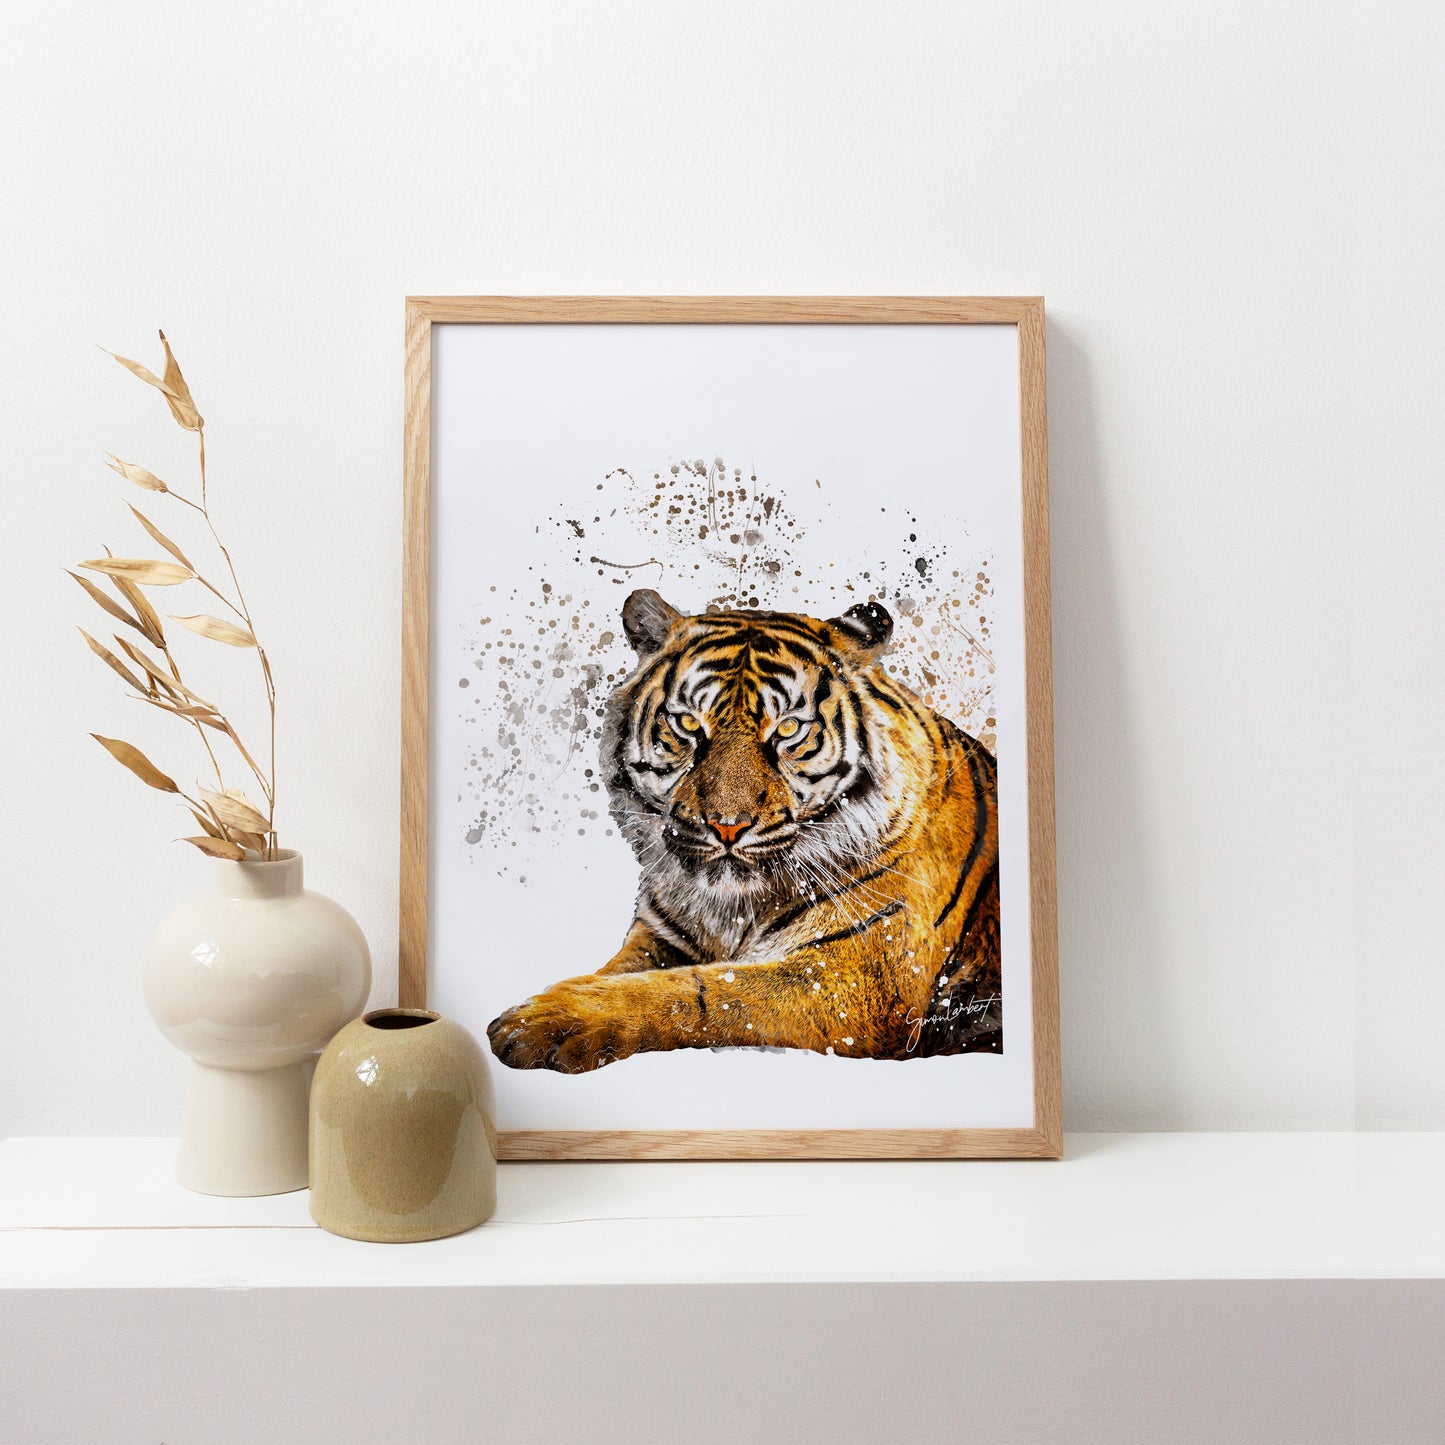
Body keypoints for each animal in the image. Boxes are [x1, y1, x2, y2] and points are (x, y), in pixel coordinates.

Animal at [486, 588, 1000, 1073]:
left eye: (789, 729)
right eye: (688, 723)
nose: (726, 827)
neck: (730, 909)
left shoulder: (852, 976)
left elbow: (699, 990)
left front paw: (544, 1021)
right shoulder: (659, 937)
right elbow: (619, 971)